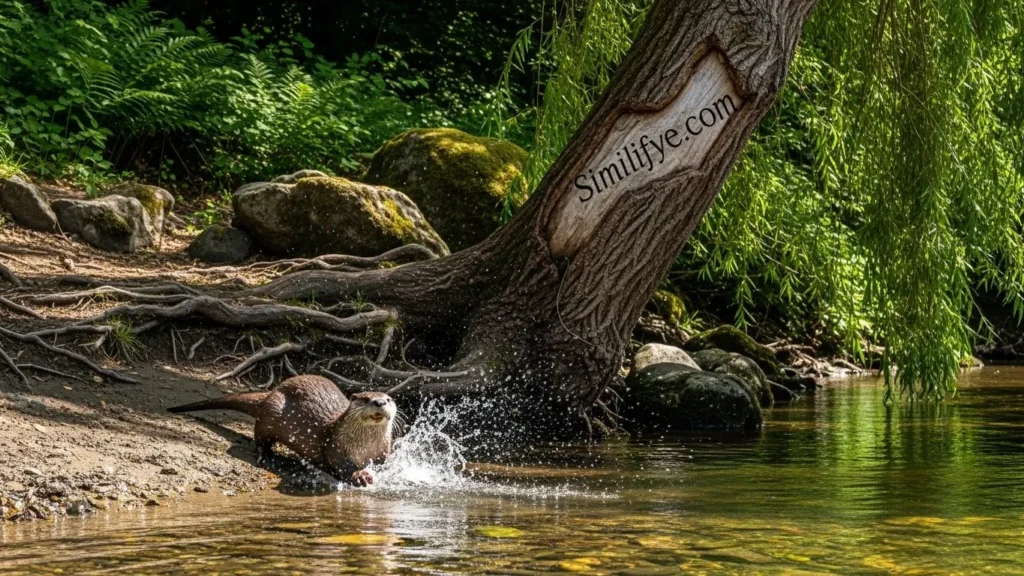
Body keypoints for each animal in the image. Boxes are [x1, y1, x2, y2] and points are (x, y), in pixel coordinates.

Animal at [168, 375, 396, 486]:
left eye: (388, 399)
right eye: (365, 399)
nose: (379, 402)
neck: (364, 447)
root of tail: (272, 392)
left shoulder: (383, 451)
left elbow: (384, 463)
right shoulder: (336, 446)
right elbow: (341, 465)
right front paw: (360, 475)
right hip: (270, 416)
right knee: (260, 438)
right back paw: (267, 457)